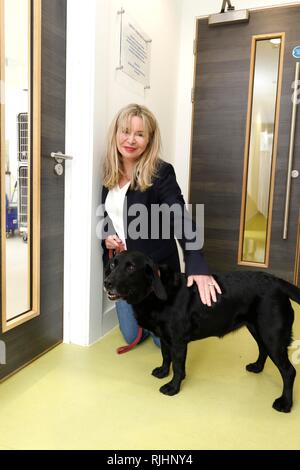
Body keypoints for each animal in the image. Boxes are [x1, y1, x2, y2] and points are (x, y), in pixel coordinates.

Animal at [102, 250, 298, 412]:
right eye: (112, 264)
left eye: (131, 267)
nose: (106, 282)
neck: (154, 294)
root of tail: (277, 282)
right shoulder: (165, 337)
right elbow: (166, 356)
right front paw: (163, 372)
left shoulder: (178, 342)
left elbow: (178, 366)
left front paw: (173, 387)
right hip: (257, 329)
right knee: (263, 349)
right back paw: (257, 367)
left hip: (272, 336)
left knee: (289, 372)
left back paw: (285, 403)